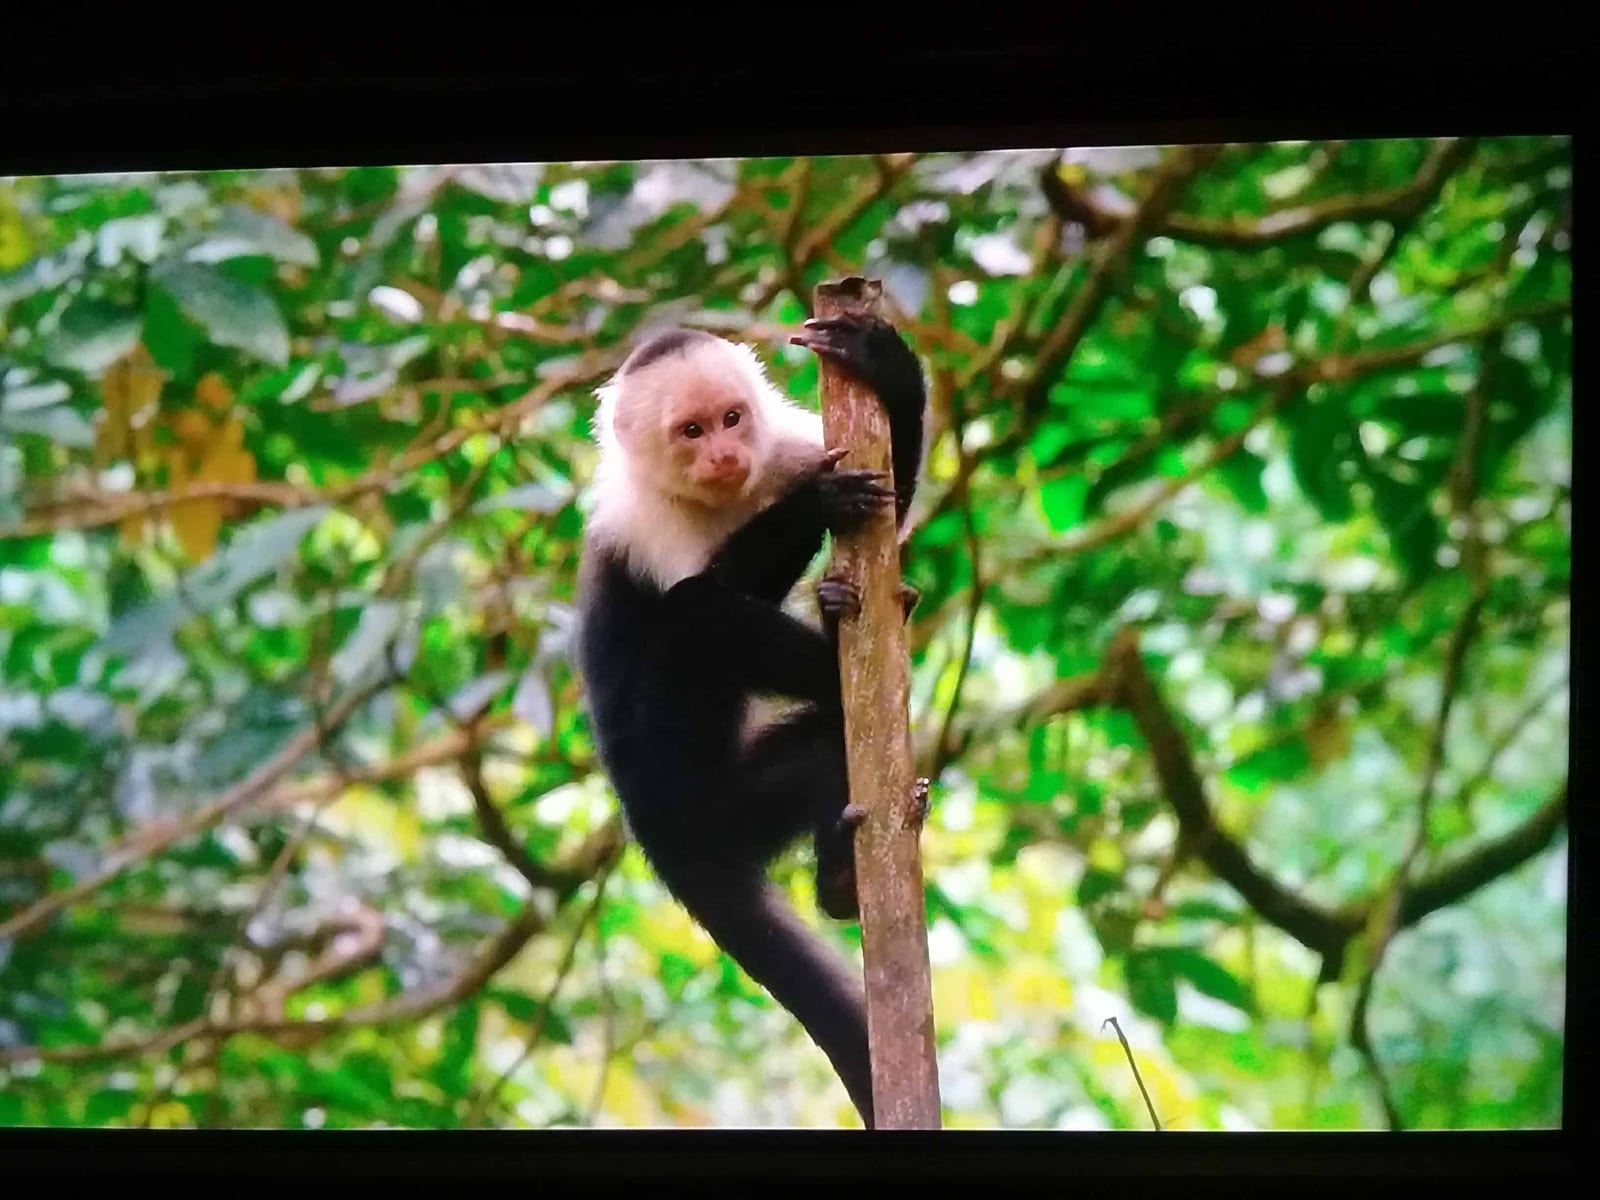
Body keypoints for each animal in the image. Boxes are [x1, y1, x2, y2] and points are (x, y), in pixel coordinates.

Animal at [573, 316, 927, 1128]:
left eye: (733, 419)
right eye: (692, 431)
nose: (726, 455)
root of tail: (661, 843)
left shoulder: (785, 447)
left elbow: (891, 504)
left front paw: (890, 371)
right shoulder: (647, 524)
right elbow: (703, 594)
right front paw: (818, 503)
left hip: (747, 803)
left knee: (825, 743)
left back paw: (840, 878)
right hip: (689, 791)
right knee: (696, 621)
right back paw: (831, 654)